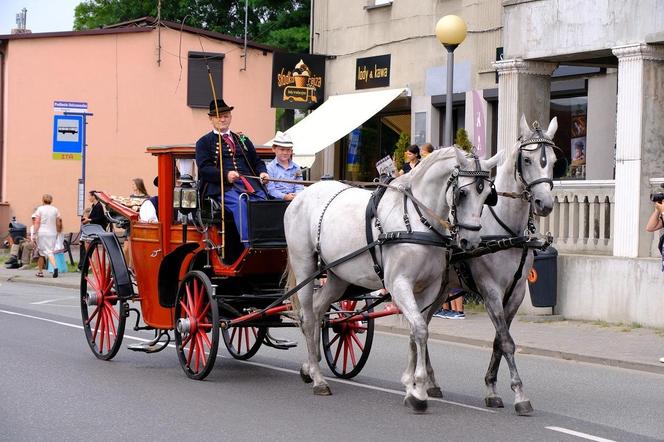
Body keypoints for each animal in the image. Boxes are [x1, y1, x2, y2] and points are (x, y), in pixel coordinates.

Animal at [284, 148, 498, 410]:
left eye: (488, 195)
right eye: (462, 193)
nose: (471, 241)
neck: (416, 221)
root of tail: (303, 194)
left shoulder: (428, 288)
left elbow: (418, 329)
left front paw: (411, 387)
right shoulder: (399, 285)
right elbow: (420, 329)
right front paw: (418, 389)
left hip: (337, 275)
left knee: (318, 311)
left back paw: (310, 365)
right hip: (304, 266)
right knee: (307, 318)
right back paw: (317, 378)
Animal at [438, 115, 564, 416]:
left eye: (554, 161)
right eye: (527, 160)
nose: (544, 204)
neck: (506, 231)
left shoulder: (516, 292)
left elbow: (499, 339)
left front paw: (492, 388)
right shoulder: (490, 290)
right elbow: (506, 340)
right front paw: (519, 394)